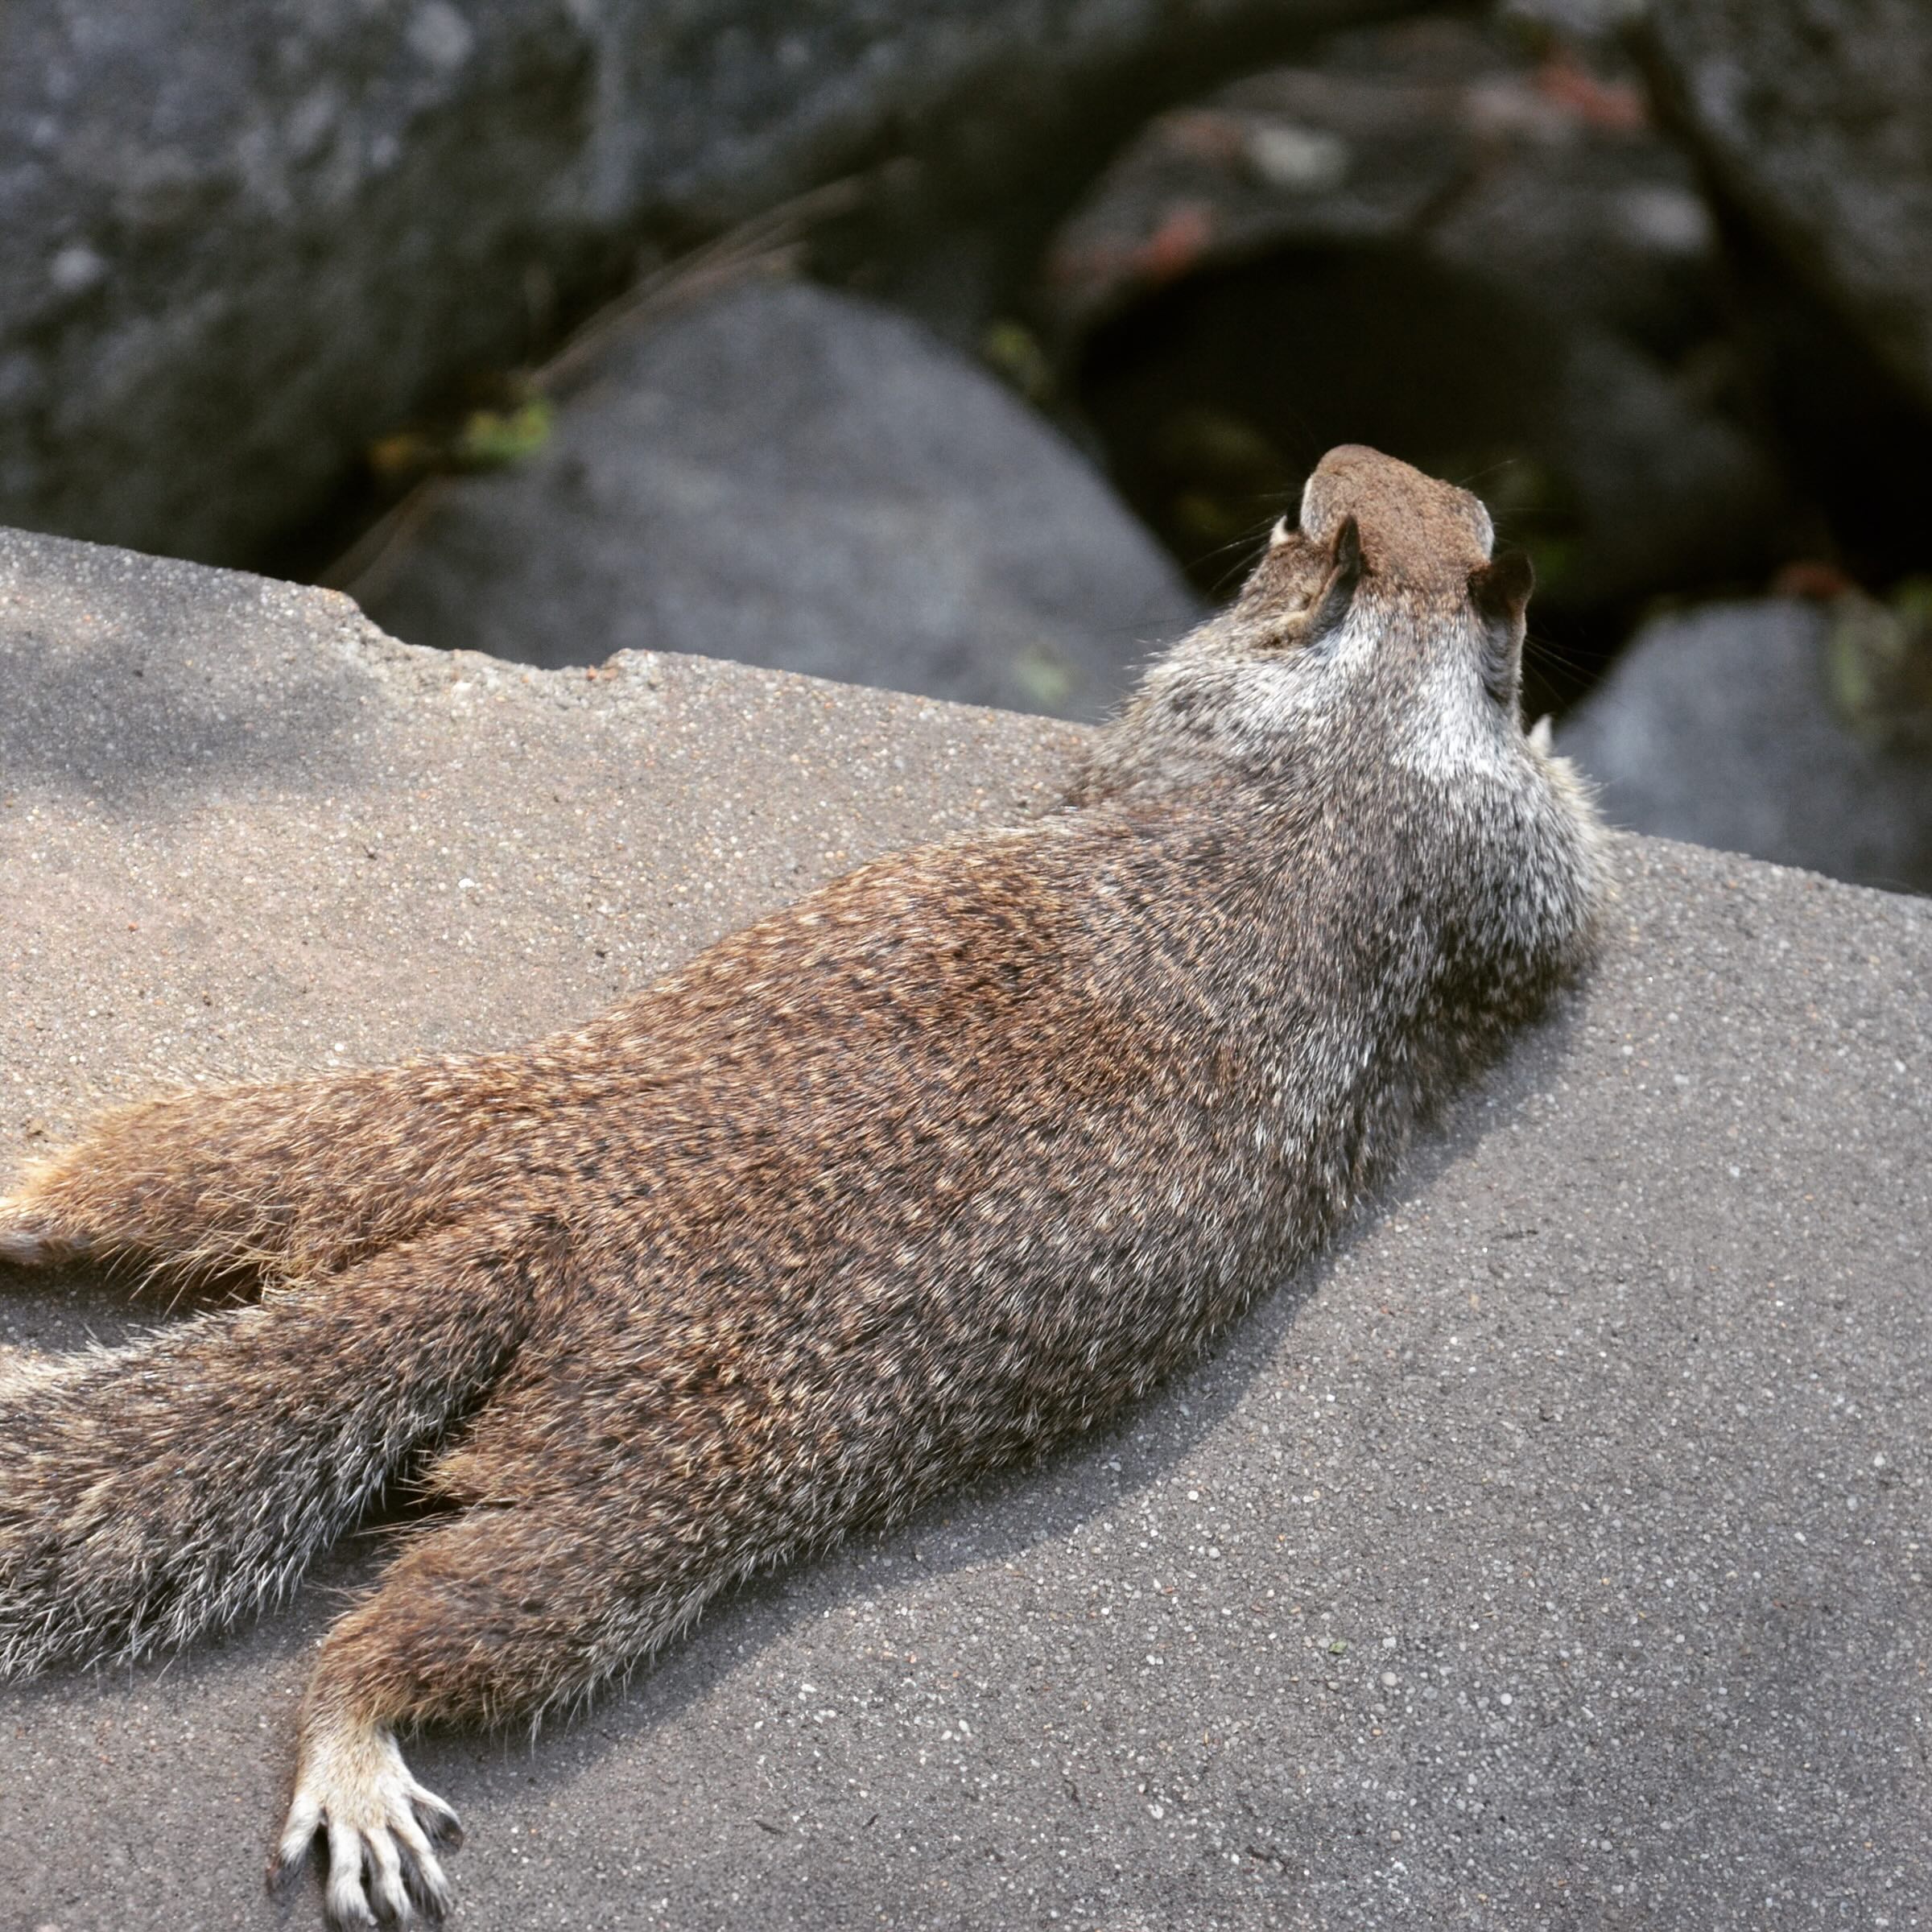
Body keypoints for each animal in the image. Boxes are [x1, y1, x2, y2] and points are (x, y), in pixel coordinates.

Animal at [0, 445, 1602, 1928]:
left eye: (1459, 518)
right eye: (1301, 507)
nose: (1354, 465)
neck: (1378, 690)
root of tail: (528, 1233)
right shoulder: (1418, 812)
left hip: (370, 1192)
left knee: (151, 1204)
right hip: (617, 1471)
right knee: (380, 1648)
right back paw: (353, 1755)